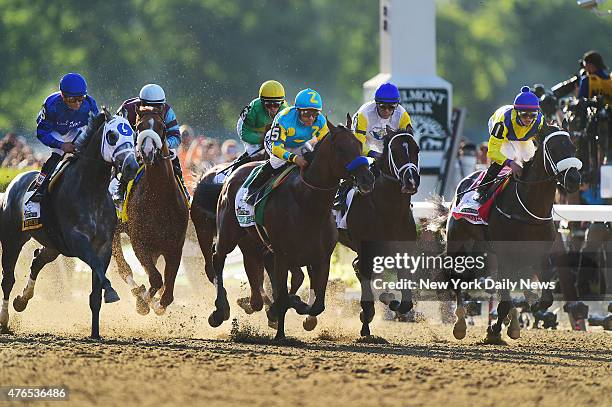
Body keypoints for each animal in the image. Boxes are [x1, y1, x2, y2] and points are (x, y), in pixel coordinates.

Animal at [0, 110, 139, 340]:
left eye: (134, 135)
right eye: (112, 135)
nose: (132, 166)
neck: (91, 191)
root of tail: (14, 182)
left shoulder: (103, 246)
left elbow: (96, 289)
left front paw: (95, 333)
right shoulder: (78, 242)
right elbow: (96, 267)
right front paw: (111, 292)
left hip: (53, 245)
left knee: (37, 261)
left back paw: (21, 301)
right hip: (12, 240)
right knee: (8, 279)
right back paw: (4, 320)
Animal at [112, 105, 188, 316]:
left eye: (162, 127)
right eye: (139, 126)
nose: (146, 152)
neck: (159, 199)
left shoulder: (174, 246)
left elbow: (167, 292)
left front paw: (156, 303)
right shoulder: (140, 242)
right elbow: (155, 279)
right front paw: (143, 302)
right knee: (124, 268)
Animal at [210, 118, 376, 342]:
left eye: (359, 145)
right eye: (340, 148)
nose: (367, 179)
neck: (308, 204)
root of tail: (234, 172)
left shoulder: (321, 259)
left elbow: (316, 305)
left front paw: (292, 307)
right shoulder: (283, 256)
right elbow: (283, 296)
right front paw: (280, 332)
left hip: (256, 242)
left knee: (256, 266)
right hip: (229, 233)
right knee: (217, 257)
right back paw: (220, 311)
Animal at [338, 126, 418, 336]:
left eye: (417, 149)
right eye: (395, 152)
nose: (411, 181)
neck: (388, 209)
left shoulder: (403, 251)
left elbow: (406, 302)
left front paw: (390, 300)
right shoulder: (367, 250)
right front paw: (365, 325)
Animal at [432, 126, 580, 342]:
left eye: (572, 147)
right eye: (552, 149)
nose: (574, 179)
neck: (528, 208)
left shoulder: (539, 255)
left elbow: (545, 299)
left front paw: (530, 306)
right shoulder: (504, 254)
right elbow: (503, 301)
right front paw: (493, 331)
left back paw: (514, 322)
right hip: (457, 243)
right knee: (457, 278)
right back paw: (460, 323)